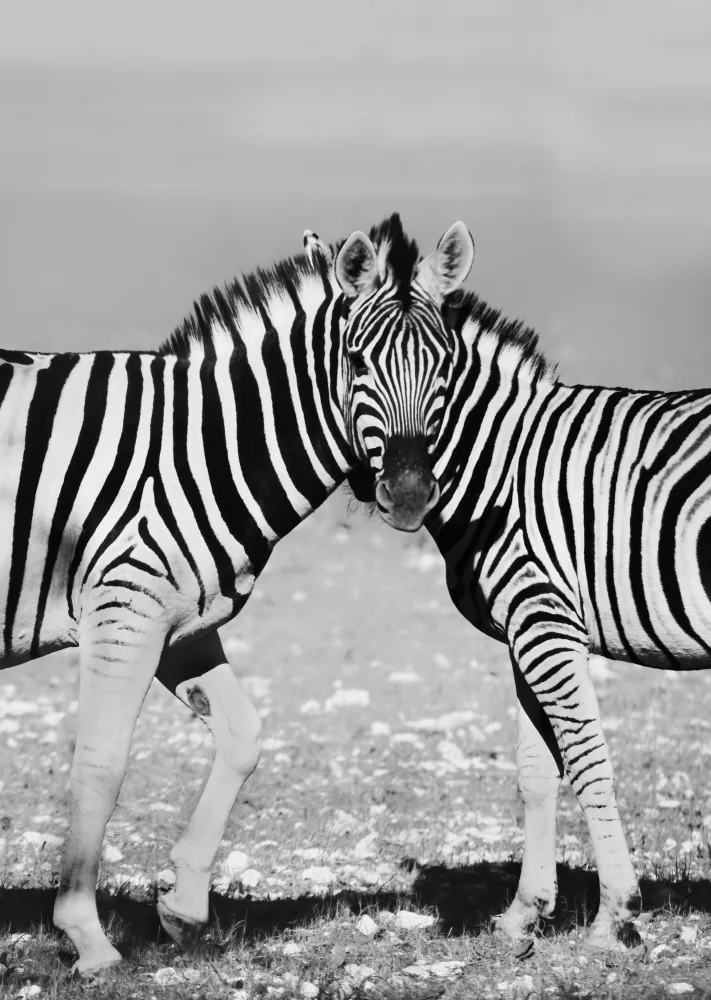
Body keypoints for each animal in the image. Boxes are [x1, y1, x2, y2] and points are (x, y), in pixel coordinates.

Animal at [0, 213, 474, 972]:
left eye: (447, 368)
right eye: (355, 362)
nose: (407, 495)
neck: (198, 449)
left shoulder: (181, 621)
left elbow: (244, 736)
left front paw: (185, 907)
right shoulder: (123, 612)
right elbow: (101, 764)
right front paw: (88, 937)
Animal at [355, 283, 711, 950]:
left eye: (440, 376)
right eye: (356, 367)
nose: (404, 496)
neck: (501, 467)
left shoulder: (547, 620)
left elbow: (588, 761)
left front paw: (614, 915)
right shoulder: (523, 631)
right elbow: (535, 772)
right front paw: (527, 911)